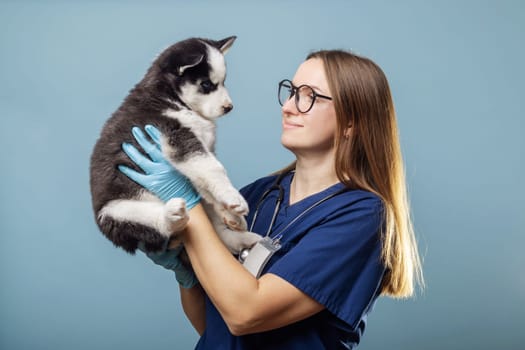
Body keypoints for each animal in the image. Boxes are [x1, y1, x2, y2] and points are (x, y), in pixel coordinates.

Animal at [91, 36, 260, 254]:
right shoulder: (179, 138)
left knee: (217, 233)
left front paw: (231, 211)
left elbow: (208, 181)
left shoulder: (199, 152)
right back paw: (172, 215)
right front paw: (233, 198)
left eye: (223, 82)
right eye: (206, 84)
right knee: (155, 225)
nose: (229, 107)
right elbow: (214, 168)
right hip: (116, 213)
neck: (171, 97)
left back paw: (241, 238)